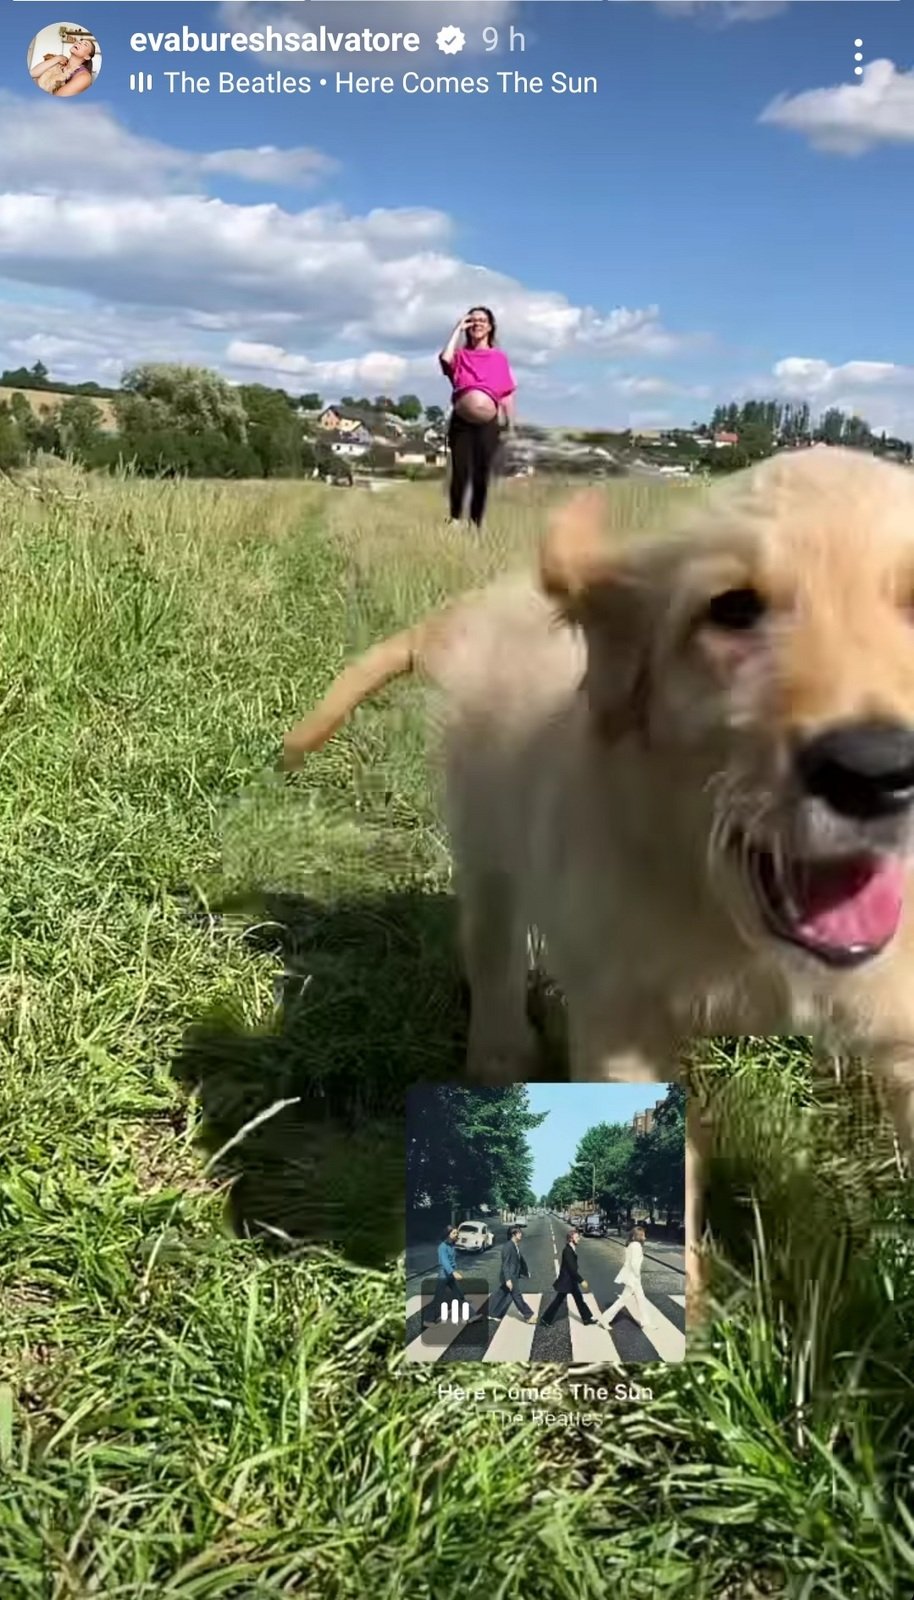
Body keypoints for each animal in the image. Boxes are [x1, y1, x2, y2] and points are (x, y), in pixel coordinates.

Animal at [284, 451, 914, 1312]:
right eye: (732, 609)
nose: (877, 772)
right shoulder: (621, 1020)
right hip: (487, 845)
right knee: (493, 953)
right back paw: (501, 1055)